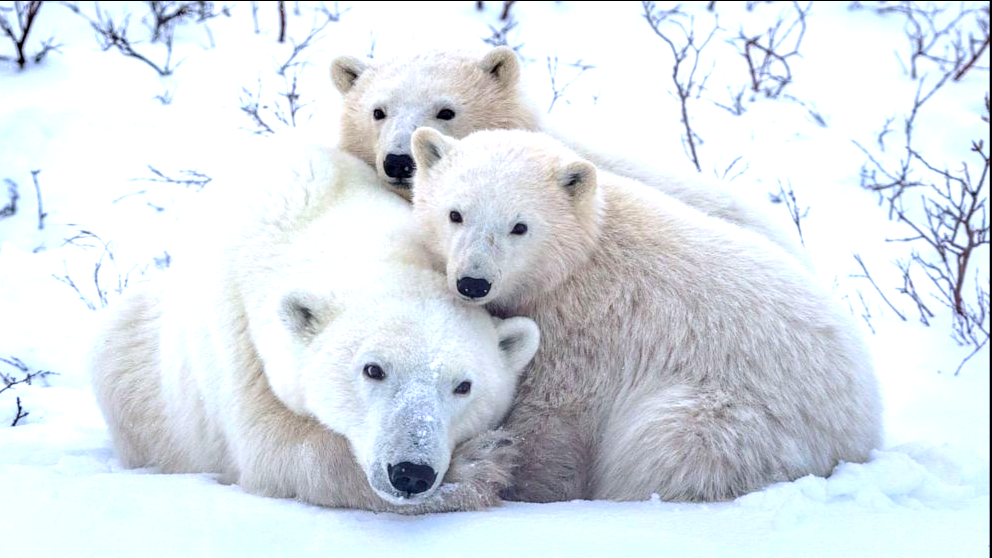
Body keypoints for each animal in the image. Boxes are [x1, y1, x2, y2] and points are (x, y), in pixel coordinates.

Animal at [91, 145, 544, 516]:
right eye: (373, 369)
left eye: (463, 386)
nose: (410, 472)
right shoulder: (239, 339)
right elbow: (276, 451)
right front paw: (482, 463)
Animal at [406, 129, 880, 506]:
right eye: (455, 213)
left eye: (519, 226)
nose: (473, 282)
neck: (579, 259)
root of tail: (862, 430)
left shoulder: (584, 332)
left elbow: (550, 419)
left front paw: (521, 482)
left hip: (736, 422)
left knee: (665, 446)